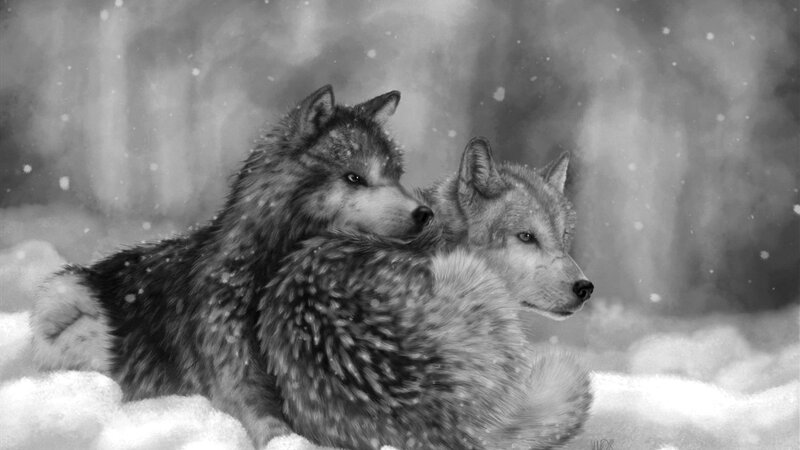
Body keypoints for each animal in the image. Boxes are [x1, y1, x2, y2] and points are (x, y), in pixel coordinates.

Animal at [30, 85, 434, 445]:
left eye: (396, 176)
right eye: (355, 177)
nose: (425, 214)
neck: (264, 271)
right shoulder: (237, 388)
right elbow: (274, 431)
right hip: (65, 297)